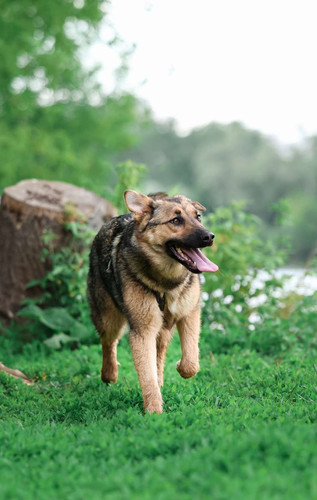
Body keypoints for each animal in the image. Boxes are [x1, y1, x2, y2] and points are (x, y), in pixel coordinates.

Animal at [87, 190, 218, 414]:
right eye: (176, 220)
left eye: (198, 217)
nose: (209, 237)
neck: (166, 284)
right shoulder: (143, 330)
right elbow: (146, 375)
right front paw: (154, 411)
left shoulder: (189, 314)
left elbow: (190, 362)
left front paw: (179, 368)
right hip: (109, 318)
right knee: (108, 342)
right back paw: (109, 374)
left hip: (163, 330)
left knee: (159, 354)